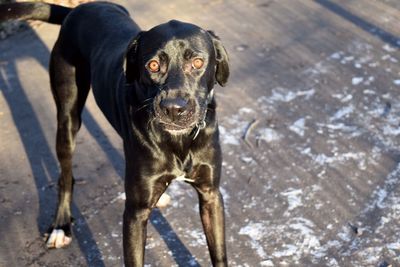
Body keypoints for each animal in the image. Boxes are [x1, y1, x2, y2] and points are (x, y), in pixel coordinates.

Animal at [0, 1, 228, 266]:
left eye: (198, 63)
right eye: (153, 65)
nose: (173, 109)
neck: (178, 140)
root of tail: (78, 10)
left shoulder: (211, 196)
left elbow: (219, 254)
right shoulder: (135, 214)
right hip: (67, 118)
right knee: (65, 175)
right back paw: (60, 225)